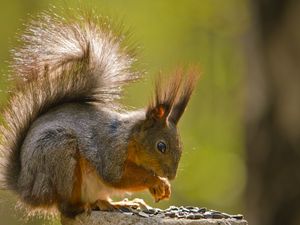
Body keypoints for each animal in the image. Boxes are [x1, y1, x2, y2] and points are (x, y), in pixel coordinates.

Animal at [0, 10, 198, 218]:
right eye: (161, 146)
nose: (171, 175)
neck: (131, 139)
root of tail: (27, 189)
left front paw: (162, 186)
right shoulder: (110, 150)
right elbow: (116, 177)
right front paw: (156, 181)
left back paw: (114, 203)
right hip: (60, 157)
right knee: (66, 208)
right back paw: (83, 206)